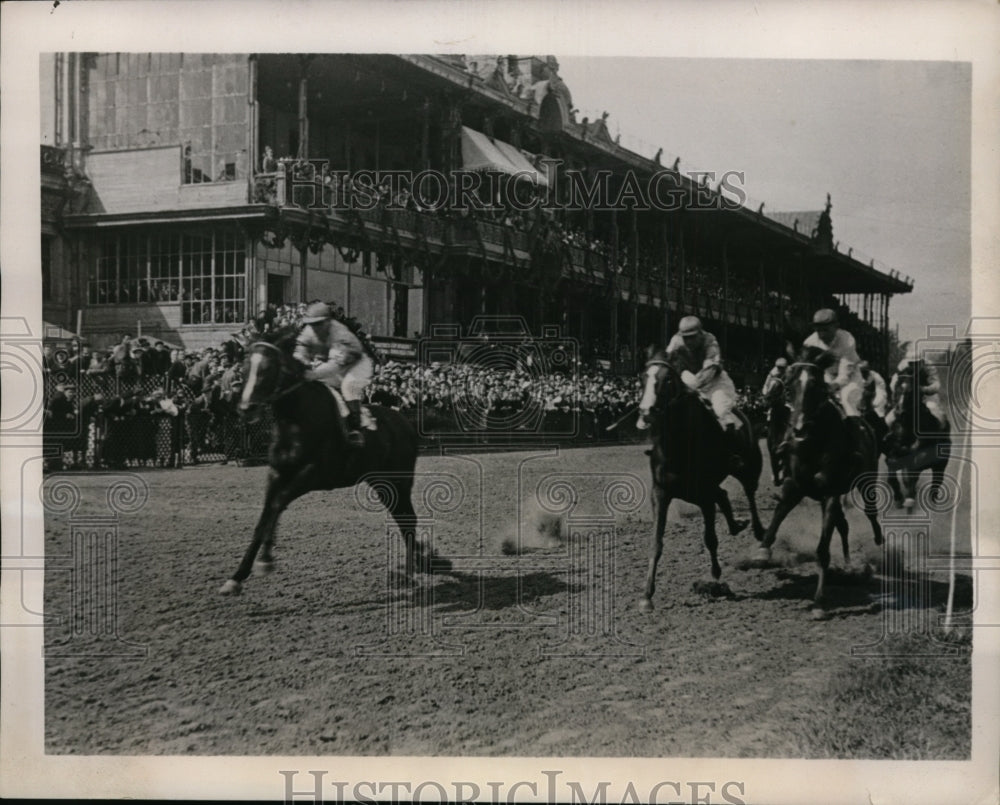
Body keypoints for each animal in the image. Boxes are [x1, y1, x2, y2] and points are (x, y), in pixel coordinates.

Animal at [221, 326, 428, 596]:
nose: (246, 408)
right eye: (245, 368)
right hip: (382, 483)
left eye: (268, 368)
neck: (294, 419)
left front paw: (265, 561)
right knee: (403, 519)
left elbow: (277, 504)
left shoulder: (313, 474)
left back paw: (412, 572)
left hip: (399, 482)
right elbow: (263, 519)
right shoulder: (276, 473)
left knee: (408, 519)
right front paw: (237, 577)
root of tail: (405, 422)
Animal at [636, 358, 760, 608]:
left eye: (668, 380)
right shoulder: (661, 493)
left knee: (750, 492)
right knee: (723, 494)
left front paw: (715, 575)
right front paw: (647, 595)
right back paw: (737, 525)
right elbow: (656, 542)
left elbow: (710, 538)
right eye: (643, 378)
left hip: (748, 467)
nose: (646, 411)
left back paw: (760, 532)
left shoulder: (704, 495)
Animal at [752, 348, 888, 608]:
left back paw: (877, 539)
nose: (799, 428)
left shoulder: (829, 492)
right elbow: (778, 515)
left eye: (817, 388)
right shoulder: (794, 486)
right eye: (788, 388)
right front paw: (762, 551)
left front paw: (819, 600)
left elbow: (823, 549)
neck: (813, 446)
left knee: (869, 512)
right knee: (843, 525)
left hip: (866, 479)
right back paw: (848, 563)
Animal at [884, 362, 952, 512]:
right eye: (897, 387)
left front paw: (908, 499)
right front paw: (899, 499)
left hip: (940, 463)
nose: (899, 412)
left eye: (911, 391)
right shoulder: (894, 456)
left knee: (936, 481)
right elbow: (892, 475)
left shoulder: (917, 460)